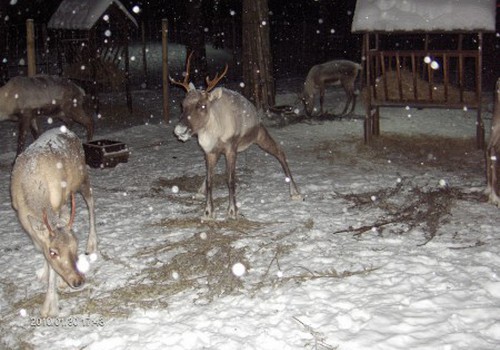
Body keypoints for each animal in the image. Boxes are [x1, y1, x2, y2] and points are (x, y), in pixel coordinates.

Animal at [11, 127, 97, 316]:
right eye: (53, 252)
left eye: (75, 246)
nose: (79, 280)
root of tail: (68, 130)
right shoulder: (22, 216)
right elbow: (41, 245)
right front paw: (44, 274)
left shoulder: (59, 203)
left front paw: (50, 306)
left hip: (82, 177)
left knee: (91, 202)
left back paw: (92, 243)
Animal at [170, 52, 302, 219]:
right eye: (182, 104)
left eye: (203, 105)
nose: (179, 130)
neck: (214, 132)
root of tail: (256, 111)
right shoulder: (209, 152)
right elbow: (210, 180)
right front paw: (208, 211)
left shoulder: (231, 149)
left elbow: (230, 179)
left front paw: (232, 210)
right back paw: (199, 191)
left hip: (260, 134)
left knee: (280, 152)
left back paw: (295, 192)